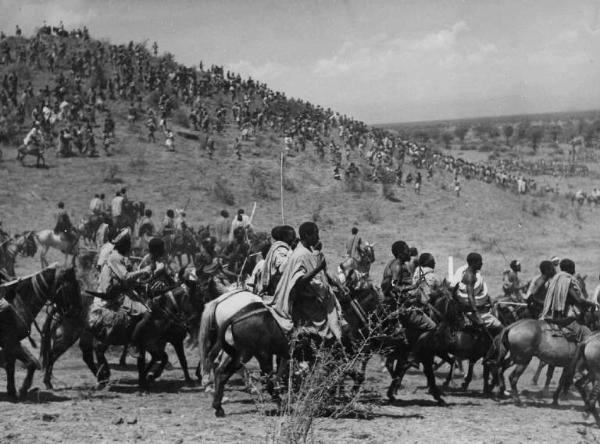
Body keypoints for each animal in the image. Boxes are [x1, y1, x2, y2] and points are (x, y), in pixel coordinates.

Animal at [0, 266, 79, 398]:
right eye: (71, 287)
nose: (76, 312)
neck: (15, 305)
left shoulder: (11, 344)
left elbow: (11, 366)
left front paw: (12, 391)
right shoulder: (10, 342)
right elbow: (31, 364)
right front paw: (23, 389)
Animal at [492, 272, 592, 404]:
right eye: (579, 287)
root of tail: (512, 326)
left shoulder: (564, 364)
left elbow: (560, 379)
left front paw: (555, 398)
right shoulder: (570, 365)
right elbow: (563, 380)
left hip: (515, 356)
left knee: (501, 368)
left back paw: (501, 391)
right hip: (523, 359)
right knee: (512, 377)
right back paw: (517, 399)